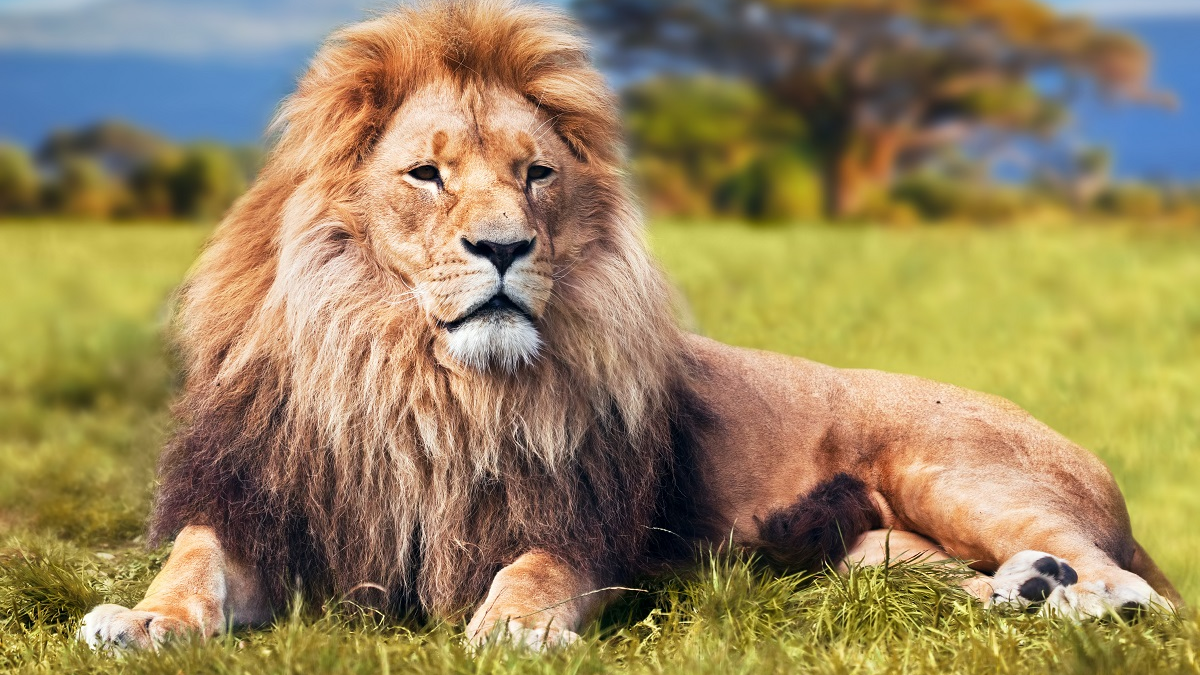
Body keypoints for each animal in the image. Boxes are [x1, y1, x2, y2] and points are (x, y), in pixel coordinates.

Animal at [79, 0, 1180, 652]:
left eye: (535, 173)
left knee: (1140, 588)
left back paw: (1087, 597)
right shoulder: (260, 506)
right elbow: (191, 567)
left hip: (952, 469)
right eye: (426, 172)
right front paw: (139, 620)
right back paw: (1023, 593)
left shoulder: (577, 524)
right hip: (871, 549)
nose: (504, 247)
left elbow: (533, 573)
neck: (419, 380)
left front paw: (515, 631)